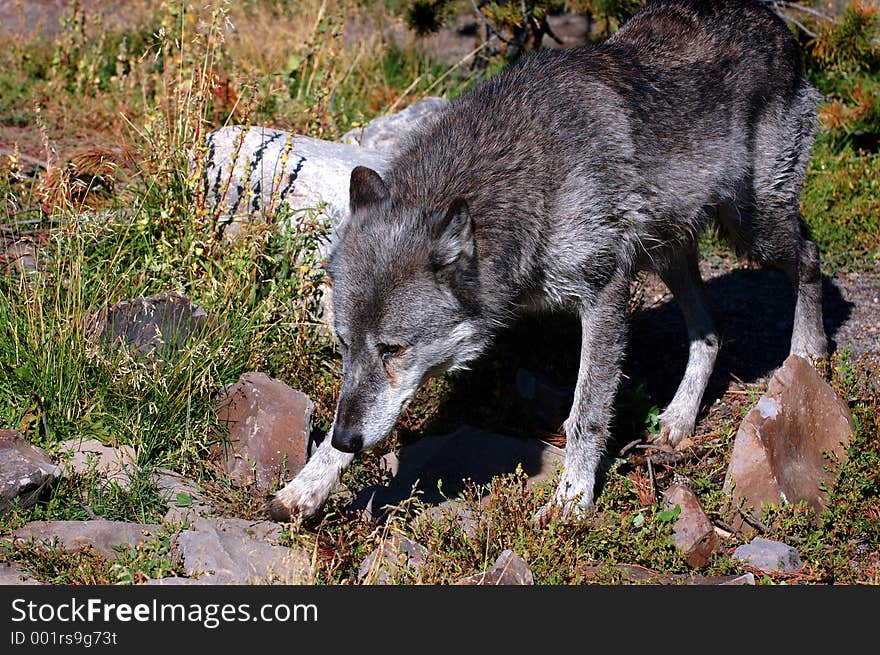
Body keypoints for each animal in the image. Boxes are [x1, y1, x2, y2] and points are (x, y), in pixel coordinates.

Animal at [266, 0, 824, 524]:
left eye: (393, 349)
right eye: (344, 345)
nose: (347, 438)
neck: (529, 176)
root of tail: (773, 20)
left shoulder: (605, 291)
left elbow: (587, 412)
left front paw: (572, 502)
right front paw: (307, 484)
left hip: (753, 227)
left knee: (810, 256)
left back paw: (808, 360)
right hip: (670, 251)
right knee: (709, 330)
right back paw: (680, 419)